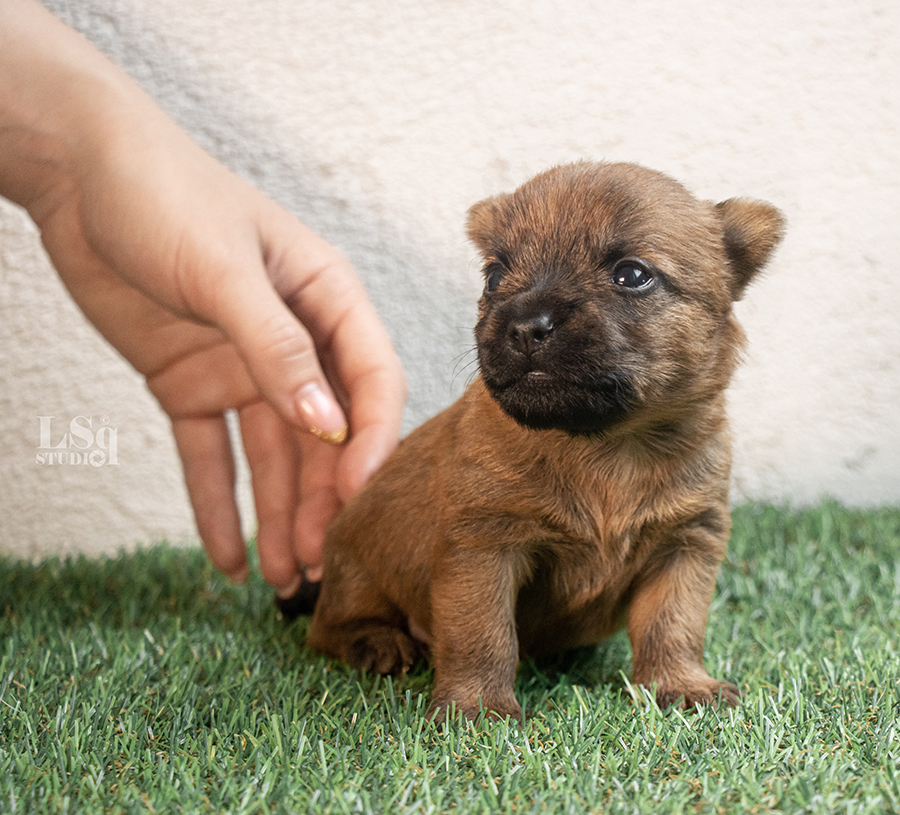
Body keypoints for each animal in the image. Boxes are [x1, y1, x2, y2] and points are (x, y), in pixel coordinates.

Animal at [306, 159, 784, 720]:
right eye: (494, 274)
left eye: (633, 275)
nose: (525, 326)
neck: (603, 445)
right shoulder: (485, 545)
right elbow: (482, 633)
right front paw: (478, 707)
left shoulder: (685, 542)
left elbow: (673, 625)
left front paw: (681, 684)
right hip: (357, 568)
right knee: (328, 627)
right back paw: (377, 641)